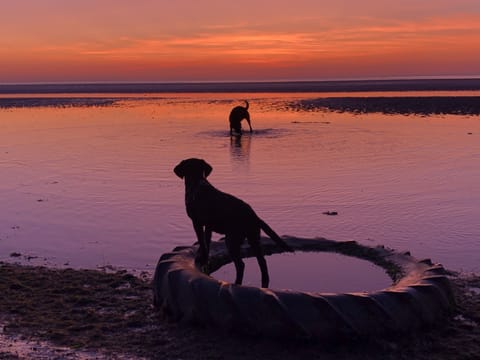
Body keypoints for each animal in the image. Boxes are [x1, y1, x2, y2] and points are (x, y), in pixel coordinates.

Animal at [174, 158, 290, 286]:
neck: (197, 184)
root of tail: (254, 216)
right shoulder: (208, 226)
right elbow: (206, 242)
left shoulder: (197, 222)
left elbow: (202, 241)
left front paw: (201, 257)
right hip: (253, 238)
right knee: (262, 262)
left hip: (231, 240)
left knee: (241, 265)